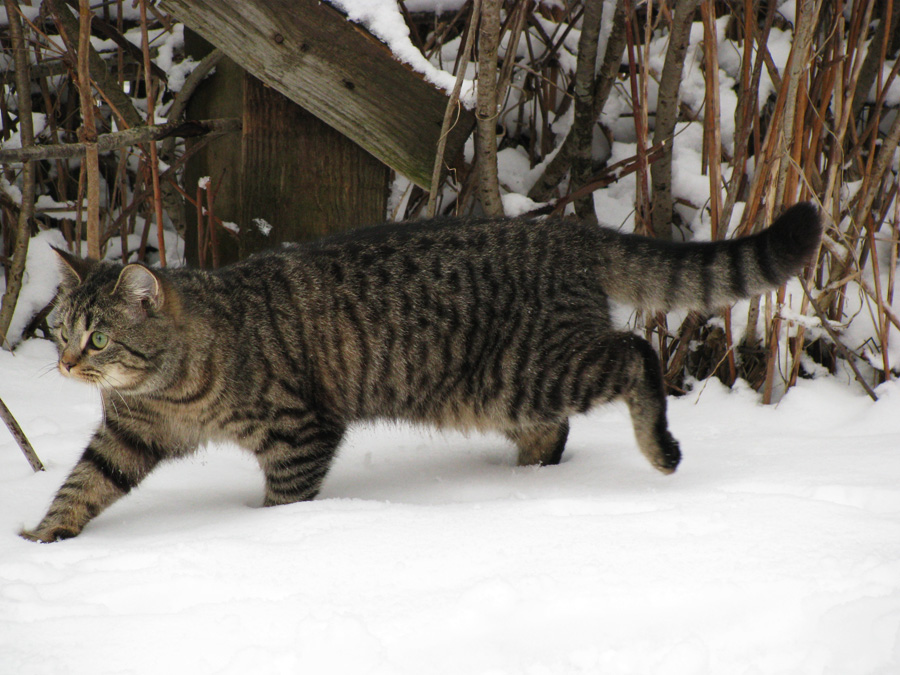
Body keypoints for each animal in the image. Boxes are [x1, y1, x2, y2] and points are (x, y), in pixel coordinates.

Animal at [21, 202, 824, 544]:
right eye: (60, 330)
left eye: (97, 338)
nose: (63, 362)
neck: (165, 383)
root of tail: (564, 230)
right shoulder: (126, 436)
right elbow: (79, 486)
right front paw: (42, 543)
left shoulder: (299, 431)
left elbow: (286, 502)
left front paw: (273, 539)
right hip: (507, 389)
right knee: (553, 429)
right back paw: (526, 483)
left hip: (532, 368)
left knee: (635, 354)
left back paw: (659, 449)